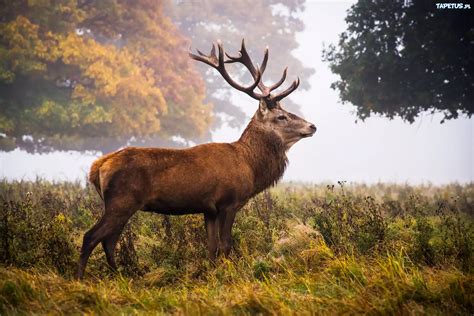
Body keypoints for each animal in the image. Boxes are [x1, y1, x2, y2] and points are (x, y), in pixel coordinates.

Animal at [76, 39, 316, 278]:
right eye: (281, 116)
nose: (312, 126)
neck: (250, 166)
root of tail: (98, 166)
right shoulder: (228, 202)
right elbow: (226, 244)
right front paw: (228, 274)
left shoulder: (208, 209)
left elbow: (211, 247)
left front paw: (210, 274)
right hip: (122, 201)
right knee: (91, 237)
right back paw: (81, 279)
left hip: (120, 204)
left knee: (109, 241)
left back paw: (120, 275)